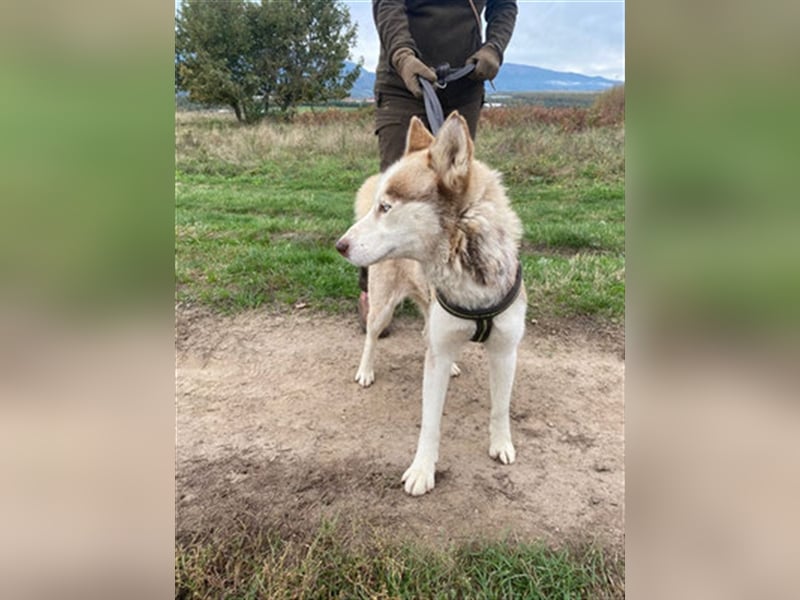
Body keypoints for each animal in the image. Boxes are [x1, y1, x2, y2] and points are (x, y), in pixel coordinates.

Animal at [336, 112, 528, 496]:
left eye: (386, 207)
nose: (340, 245)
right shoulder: (435, 359)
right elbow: (430, 421)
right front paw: (422, 469)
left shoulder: (505, 351)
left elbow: (500, 408)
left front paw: (501, 444)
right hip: (382, 307)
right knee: (371, 337)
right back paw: (365, 370)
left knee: (428, 331)